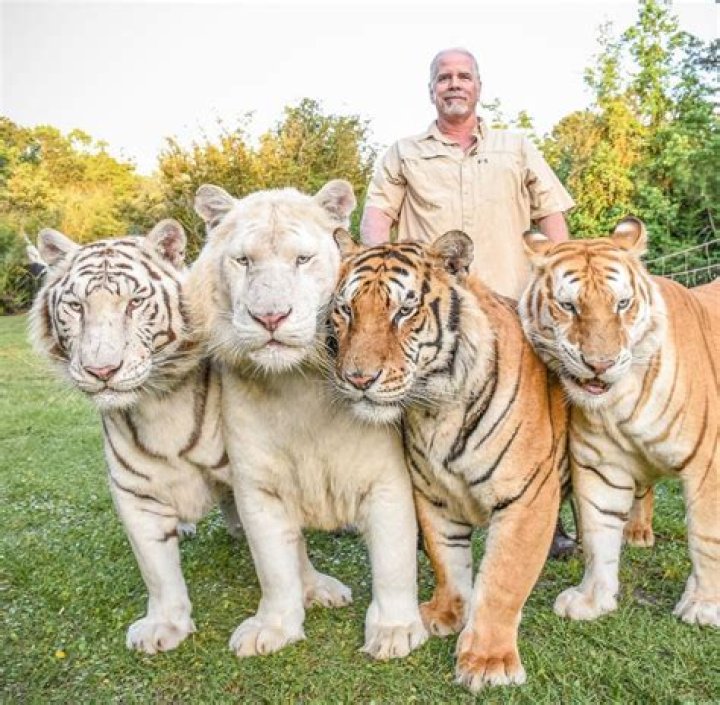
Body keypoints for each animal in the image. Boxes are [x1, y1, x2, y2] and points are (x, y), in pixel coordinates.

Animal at [28, 220, 335, 654]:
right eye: (76, 307)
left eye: (134, 303)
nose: (101, 371)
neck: (160, 404)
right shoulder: (133, 493)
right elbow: (156, 569)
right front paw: (165, 624)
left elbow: (291, 546)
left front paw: (314, 590)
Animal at [185, 180, 427, 660]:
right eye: (243, 261)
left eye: (302, 259)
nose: (270, 316)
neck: (295, 387)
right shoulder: (257, 488)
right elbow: (275, 570)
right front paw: (273, 627)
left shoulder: (389, 480)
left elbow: (394, 562)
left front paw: (394, 631)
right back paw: (317, 590)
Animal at [329, 229, 568, 691]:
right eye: (346, 310)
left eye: (404, 310)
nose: (358, 379)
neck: (435, 407)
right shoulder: (433, 496)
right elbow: (448, 562)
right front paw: (444, 615)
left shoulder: (526, 496)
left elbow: (503, 578)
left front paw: (488, 661)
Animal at [519, 217, 719, 628]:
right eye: (568, 306)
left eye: (622, 304)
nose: (601, 364)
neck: (617, 405)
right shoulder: (601, 465)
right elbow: (600, 533)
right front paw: (592, 599)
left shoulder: (708, 463)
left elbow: (706, 536)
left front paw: (704, 605)